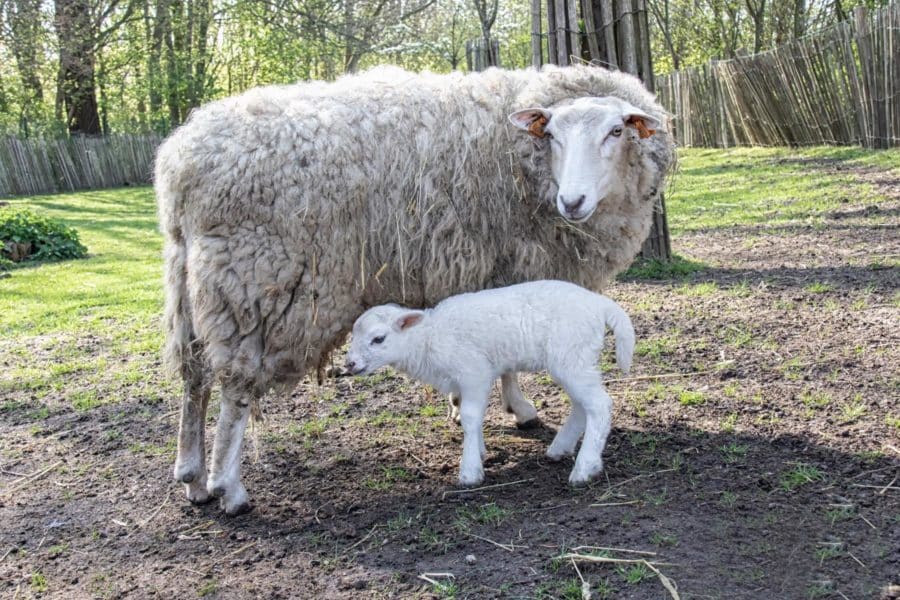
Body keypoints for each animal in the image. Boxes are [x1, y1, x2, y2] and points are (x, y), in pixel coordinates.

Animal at [344, 282, 632, 488]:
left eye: (378, 339)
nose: (349, 364)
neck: (429, 338)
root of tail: (601, 304)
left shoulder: (474, 373)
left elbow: (471, 417)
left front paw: (470, 470)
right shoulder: (466, 381)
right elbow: (472, 415)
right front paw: (480, 451)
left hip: (571, 356)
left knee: (599, 405)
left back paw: (585, 468)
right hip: (575, 360)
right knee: (582, 405)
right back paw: (560, 448)